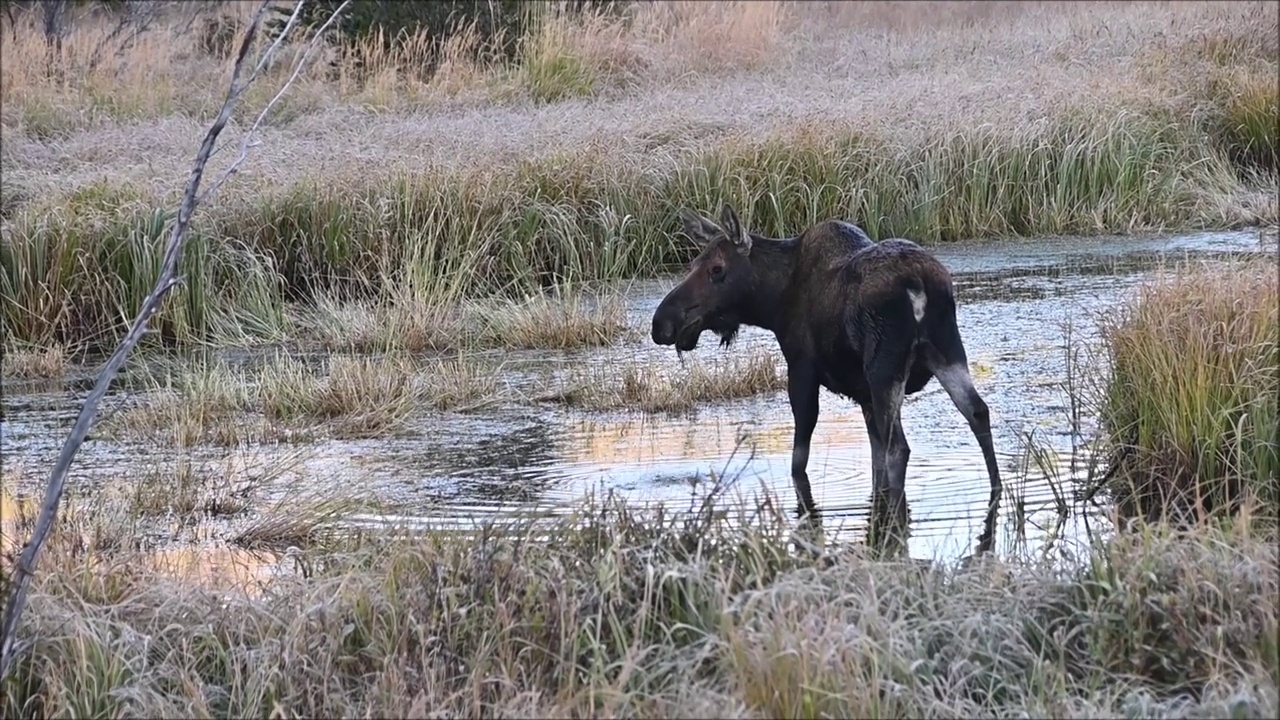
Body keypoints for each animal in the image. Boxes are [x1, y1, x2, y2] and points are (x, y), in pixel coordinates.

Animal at [655, 204, 1003, 550]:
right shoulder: (863, 394)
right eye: (692, 264)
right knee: (977, 412)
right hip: (946, 349)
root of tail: (920, 284)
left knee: (900, 447)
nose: (663, 324)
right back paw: (996, 489)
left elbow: (800, 458)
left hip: (885, 367)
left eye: (717, 269)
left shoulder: (802, 371)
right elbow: (874, 459)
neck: (772, 303)